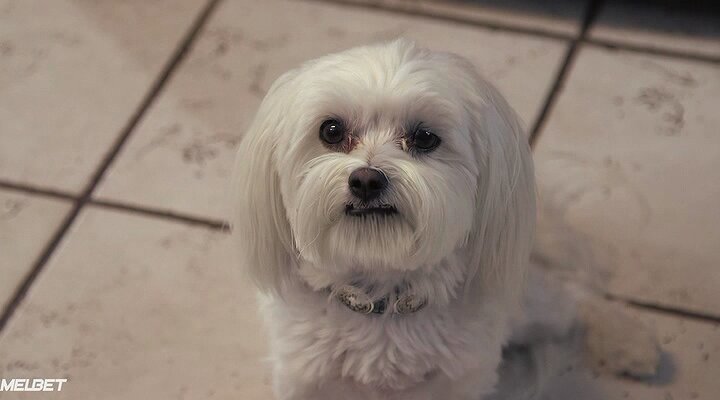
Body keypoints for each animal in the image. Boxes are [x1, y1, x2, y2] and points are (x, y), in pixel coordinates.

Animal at [232, 39, 660, 399]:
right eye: (331, 130)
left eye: (424, 137)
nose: (367, 180)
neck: (383, 300)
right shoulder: (304, 378)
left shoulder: (460, 380)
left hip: (526, 298)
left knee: (576, 298)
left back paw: (634, 346)